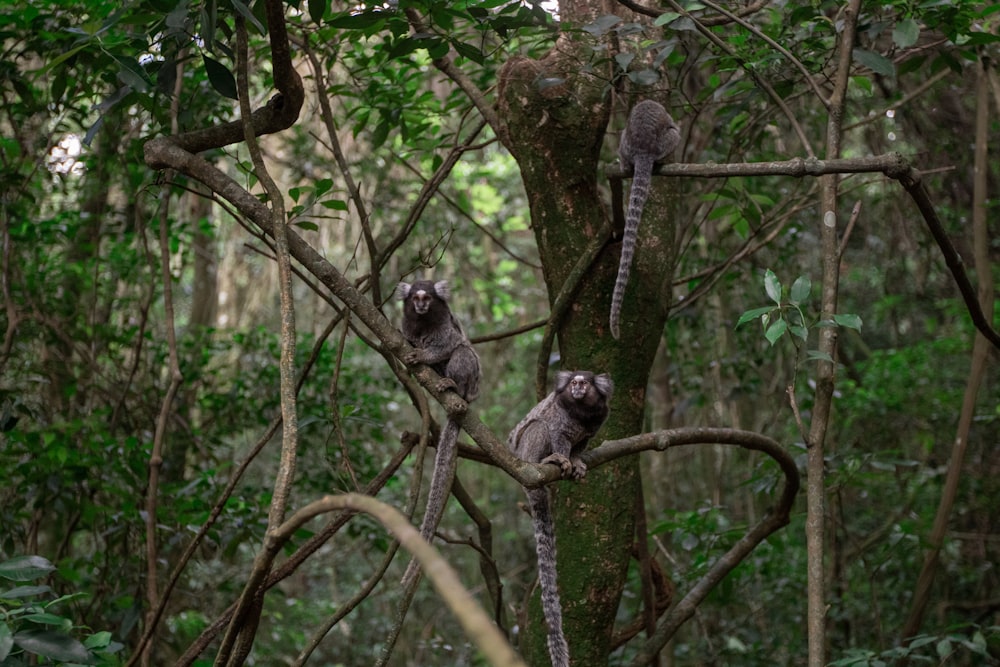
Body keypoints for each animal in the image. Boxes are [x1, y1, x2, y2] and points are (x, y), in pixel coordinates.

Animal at [394, 280, 480, 588]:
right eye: (415, 298)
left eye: (428, 298)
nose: (421, 305)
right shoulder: (408, 325)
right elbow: (406, 337)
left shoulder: (445, 329)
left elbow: (452, 343)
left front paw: (422, 355)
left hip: (472, 384)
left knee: (463, 354)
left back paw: (451, 384)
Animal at [512, 370, 612, 667]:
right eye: (573, 383)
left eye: (585, 383)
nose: (577, 388)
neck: (582, 411)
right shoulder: (560, 419)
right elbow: (556, 434)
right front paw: (564, 458)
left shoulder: (595, 424)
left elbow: (581, 445)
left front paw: (577, 461)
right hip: (524, 454)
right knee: (538, 428)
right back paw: (548, 461)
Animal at [608, 99, 680, 340]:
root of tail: (643, 150)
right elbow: (674, 126)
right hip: (663, 143)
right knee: (675, 134)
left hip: (626, 144)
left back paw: (624, 165)